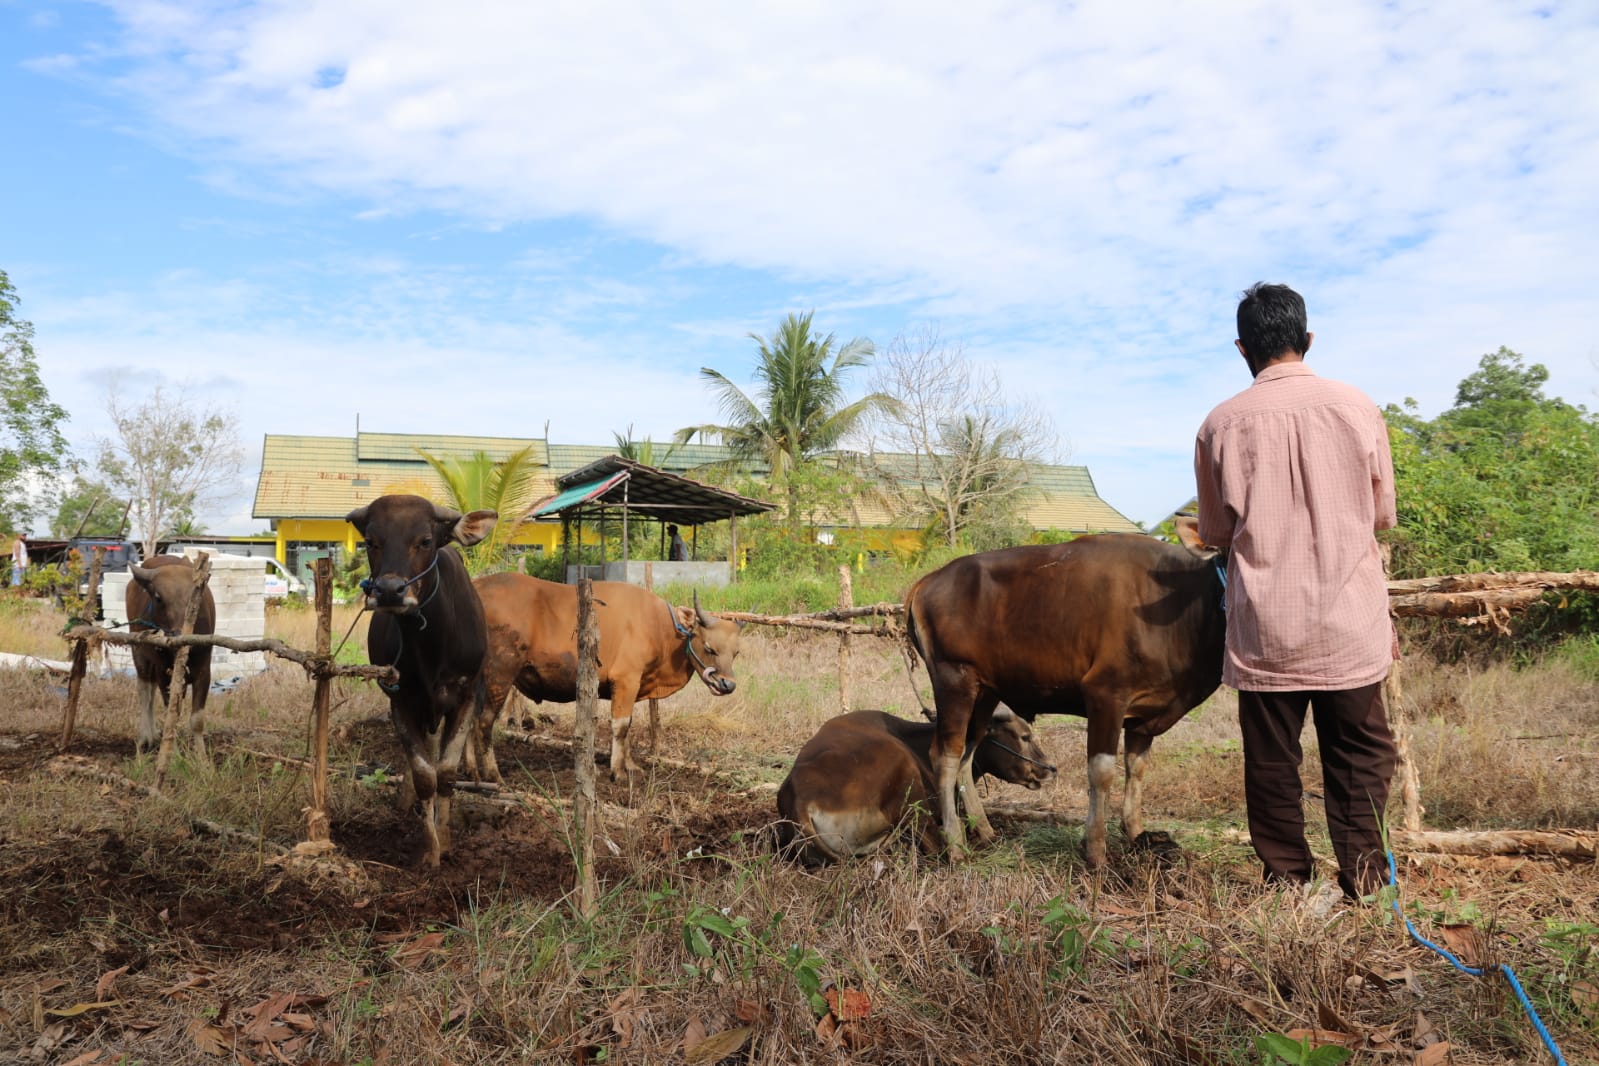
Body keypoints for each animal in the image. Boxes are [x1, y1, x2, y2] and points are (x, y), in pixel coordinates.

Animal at [125, 559, 215, 757]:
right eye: (158, 598)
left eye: (195, 598)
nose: (178, 634)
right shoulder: (164, 673)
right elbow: (171, 714)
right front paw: (172, 754)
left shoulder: (204, 671)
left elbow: (197, 719)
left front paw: (203, 759)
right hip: (140, 654)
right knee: (145, 692)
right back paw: (146, 737)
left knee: (150, 692)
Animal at [346, 495, 495, 869]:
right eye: (371, 541)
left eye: (425, 540)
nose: (389, 591)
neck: (431, 647)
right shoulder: (400, 701)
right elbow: (425, 775)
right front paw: (430, 849)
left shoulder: (465, 698)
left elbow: (446, 773)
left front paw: (445, 839)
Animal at [466, 575, 741, 783]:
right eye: (709, 647)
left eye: (736, 652)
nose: (727, 684)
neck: (659, 626)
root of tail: (477, 586)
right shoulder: (626, 680)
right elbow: (620, 726)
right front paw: (618, 772)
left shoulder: (631, 685)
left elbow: (629, 726)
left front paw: (631, 766)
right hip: (500, 674)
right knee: (483, 722)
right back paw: (493, 775)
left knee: (467, 720)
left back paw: (472, 772)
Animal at [908, 524, 1228, 869]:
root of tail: (927, 583)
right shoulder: (1105, 695)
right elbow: (1102, 772)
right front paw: (1095, 849)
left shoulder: (1145, 715)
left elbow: (1136, 769)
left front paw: (1136, 834)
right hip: (954, 681)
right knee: (945, 756)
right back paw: (954, 844)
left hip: (984, 692)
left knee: (968, 754)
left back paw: (984, 829)